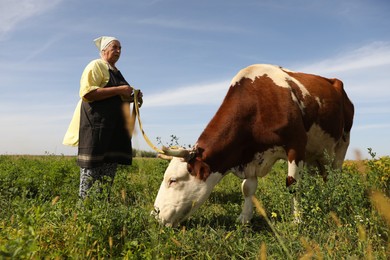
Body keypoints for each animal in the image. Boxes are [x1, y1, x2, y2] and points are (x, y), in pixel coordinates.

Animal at [152, 64, 354, 226]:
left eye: (173, 180)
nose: (154, 214)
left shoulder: (296, 144)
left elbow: (293, 185)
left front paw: (297, 219)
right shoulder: (249, 156)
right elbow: (247, 188)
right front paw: (244, 217)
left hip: (342, 142)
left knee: (335, 175)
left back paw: (331, 200)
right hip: (315, 152)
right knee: (316, 177)